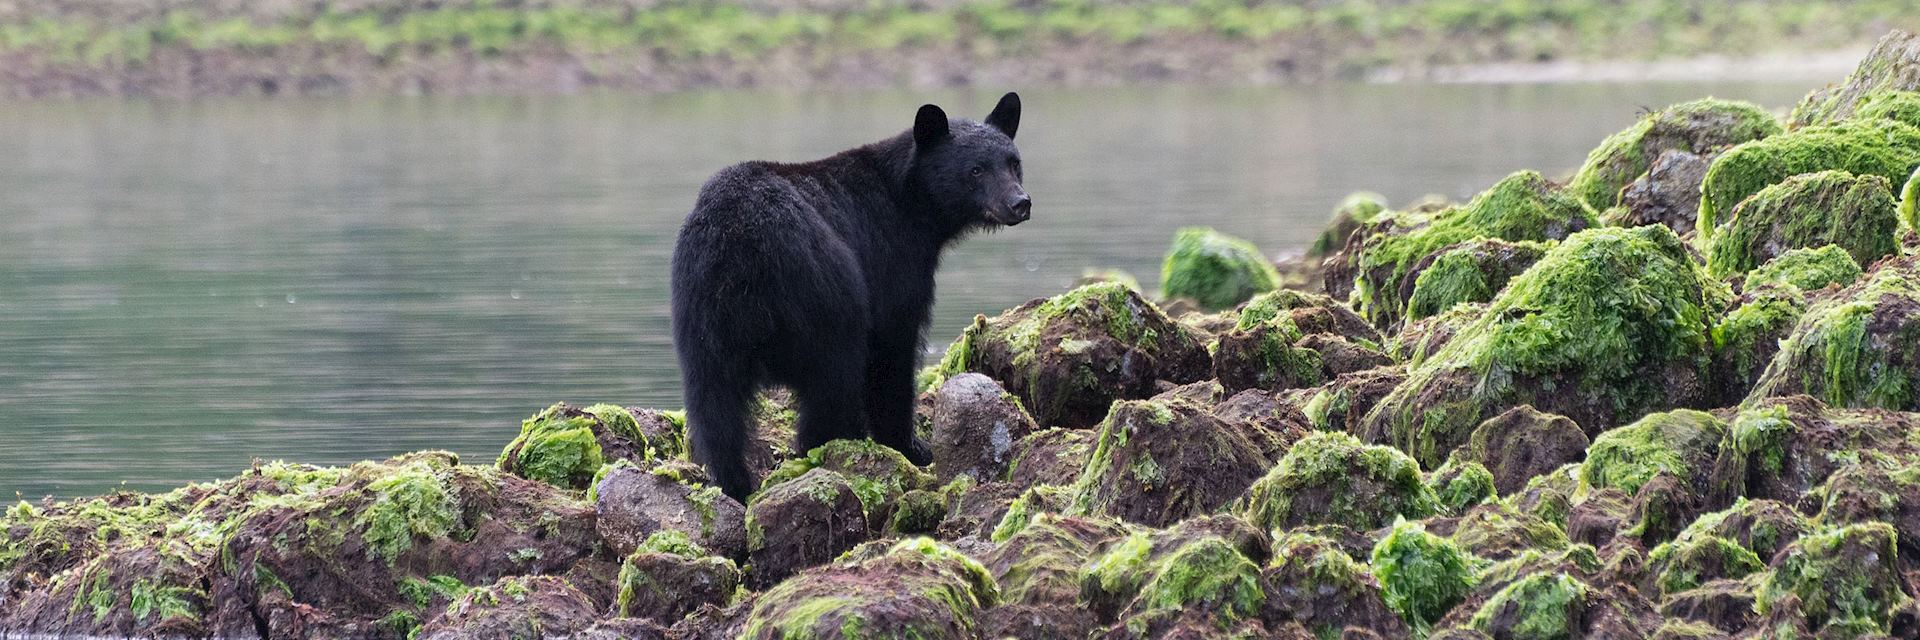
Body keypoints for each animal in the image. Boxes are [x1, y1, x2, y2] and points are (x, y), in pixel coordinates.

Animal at [675, 92, 1036, 499]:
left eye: (1013, 163)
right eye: (975, 170)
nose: (1020, 202)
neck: (911, 202)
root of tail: (740, 244)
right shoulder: (892, 258)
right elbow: (893, 349)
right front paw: (911, 445)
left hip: (702, 313)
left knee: (714, 405)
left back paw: (734, 483)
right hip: (823, 290)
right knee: (834, 375)